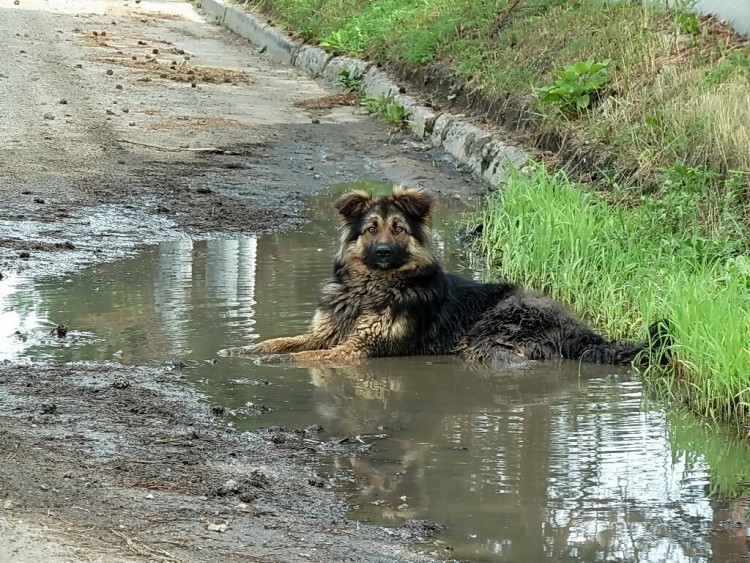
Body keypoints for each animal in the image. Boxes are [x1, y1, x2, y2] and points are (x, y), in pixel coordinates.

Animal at [232, 187, 672, 368]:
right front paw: (244, 350)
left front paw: (275, 364)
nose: (383, 253)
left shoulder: (362, 347)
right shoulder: (326, 332)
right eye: (371, 229)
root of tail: (578, 327)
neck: (369, 289)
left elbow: (305, 355)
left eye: (398, 229)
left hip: (489, 335)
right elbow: (284, 341)